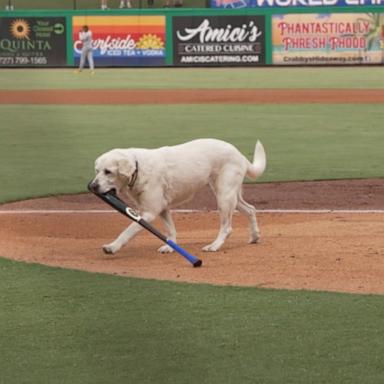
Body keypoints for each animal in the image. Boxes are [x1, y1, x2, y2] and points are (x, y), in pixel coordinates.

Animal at [90, 139, 266, 255]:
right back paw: (254, 236)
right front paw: (171, 247)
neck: (138, 168)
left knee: (227, 228)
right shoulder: (162, 209)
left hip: (224, 197)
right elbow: (170, 230)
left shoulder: (149, 213)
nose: (92, 186)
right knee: (251, 209)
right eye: (97, 171)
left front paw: (112, 246)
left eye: (108, 171)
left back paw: (214, 246)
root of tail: (239, 153)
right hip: (230, 196)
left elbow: (128, 231)